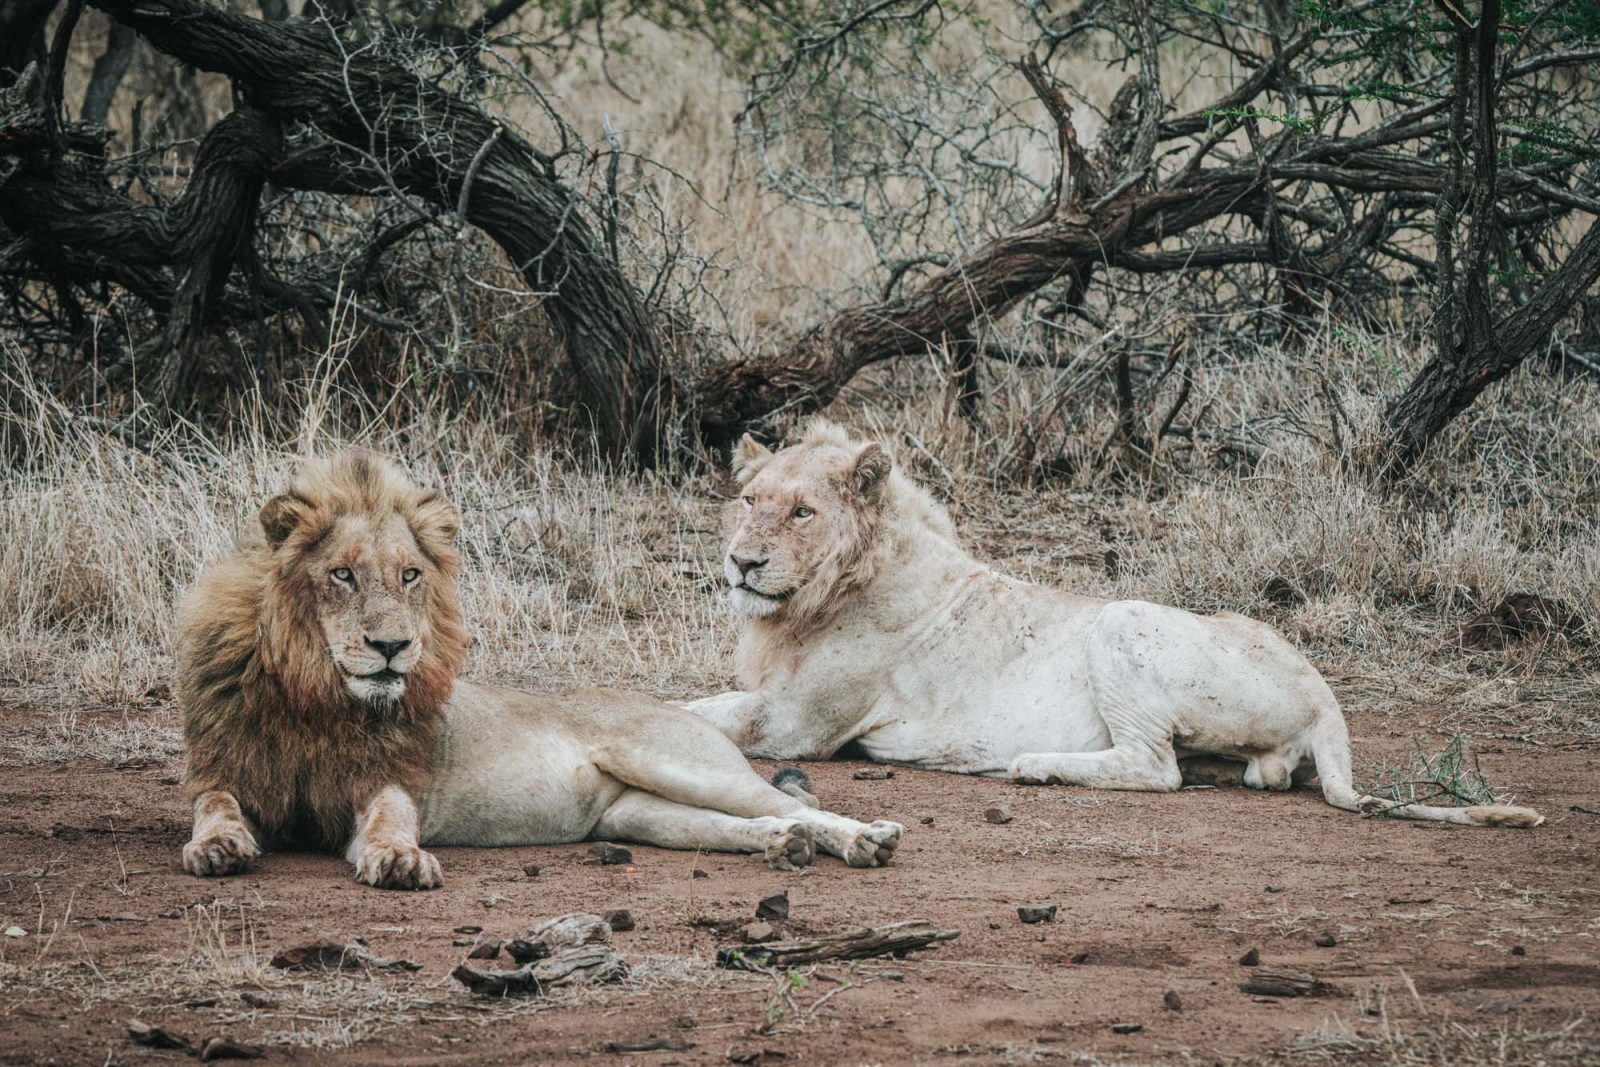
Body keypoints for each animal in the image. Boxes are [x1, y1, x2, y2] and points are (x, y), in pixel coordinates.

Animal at [178, 447, 902, 889]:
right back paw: (784, 844)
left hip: (677, 763)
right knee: (751, 822)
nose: (392, 647)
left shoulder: (390, 780)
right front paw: (215, 848)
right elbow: (212, 805)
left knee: (791, 801)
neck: (313, 694)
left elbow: (387, 821)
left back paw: (866, 840)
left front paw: (399, 859)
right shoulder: (227, 771)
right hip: (639, 815)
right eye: (342, 575)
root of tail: (660, 703)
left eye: (410, 575)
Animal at [681, 422, 1542, 831]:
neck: (815, 597)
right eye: (750, 499)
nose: (741, 563)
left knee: (1154, 767)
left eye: (803, 511)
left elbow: (699, 712)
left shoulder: (800, 723)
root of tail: (1324, 695)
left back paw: (1034, 765)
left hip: (1122, 617)